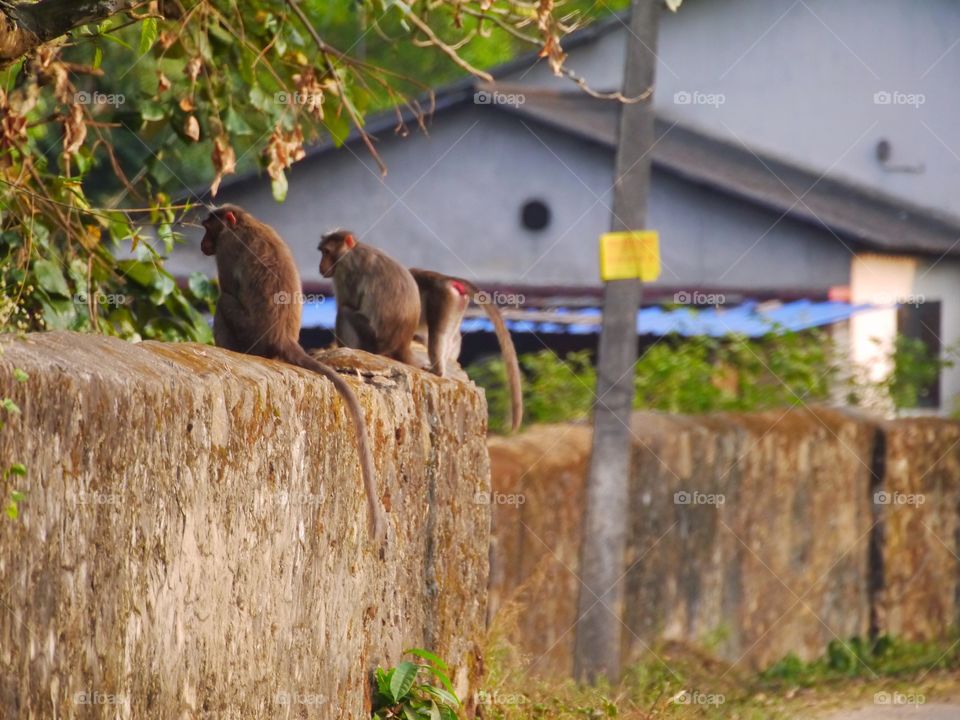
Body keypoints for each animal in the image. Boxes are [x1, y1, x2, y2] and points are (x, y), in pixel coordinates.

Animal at [201, 205, 388, 544]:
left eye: (210, 230)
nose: (203, 244)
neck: (246, 224)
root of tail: (284, 339)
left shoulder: (228, 248)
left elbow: (227, 288)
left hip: (249, 333)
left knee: (225, 301)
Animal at [318, 229, 420, 366]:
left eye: (327, 252)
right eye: (322, 252)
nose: (321, 265)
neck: (350, 251)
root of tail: (401, 345)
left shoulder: (345, 272)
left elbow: (348, 303)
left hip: (373, 339)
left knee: (344, 311)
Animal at [406, 268, 520, 430]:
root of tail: (446, 278)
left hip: (442, 299)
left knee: (438, 333)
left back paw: (437, 370)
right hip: (455, 306)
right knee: (448, 337)